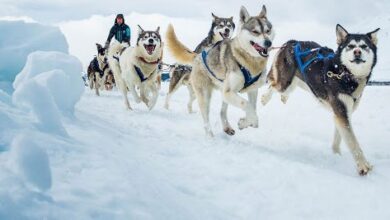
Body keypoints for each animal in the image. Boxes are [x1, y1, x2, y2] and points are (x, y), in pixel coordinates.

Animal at [167, 5, 274, 136]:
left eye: (268, 30)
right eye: (255, 31)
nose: (268, 43)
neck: (248, 60)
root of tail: (198, 54)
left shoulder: (252, 90)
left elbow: (253, 112)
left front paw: (244, 123)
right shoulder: (229, 92)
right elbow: (247, 105)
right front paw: (247, 121)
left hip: (223, 92)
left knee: (222, 111)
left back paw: (226, 127)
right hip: (205, 95)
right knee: (206, 119)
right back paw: (210, 136)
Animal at [260, 24, 380, 175]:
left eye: (364, 46)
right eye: (351, 46)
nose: (357, 52)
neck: (345, 75)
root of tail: (292, 42)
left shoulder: (342, 113)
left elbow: (339, 137)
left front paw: (336, 155)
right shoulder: (341, 112)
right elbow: (353, 141)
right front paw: (363, 165)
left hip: (297, 82)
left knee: (287, 88)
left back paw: (284, 97)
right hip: (284, 82)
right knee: (273, 84)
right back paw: (265, 98)